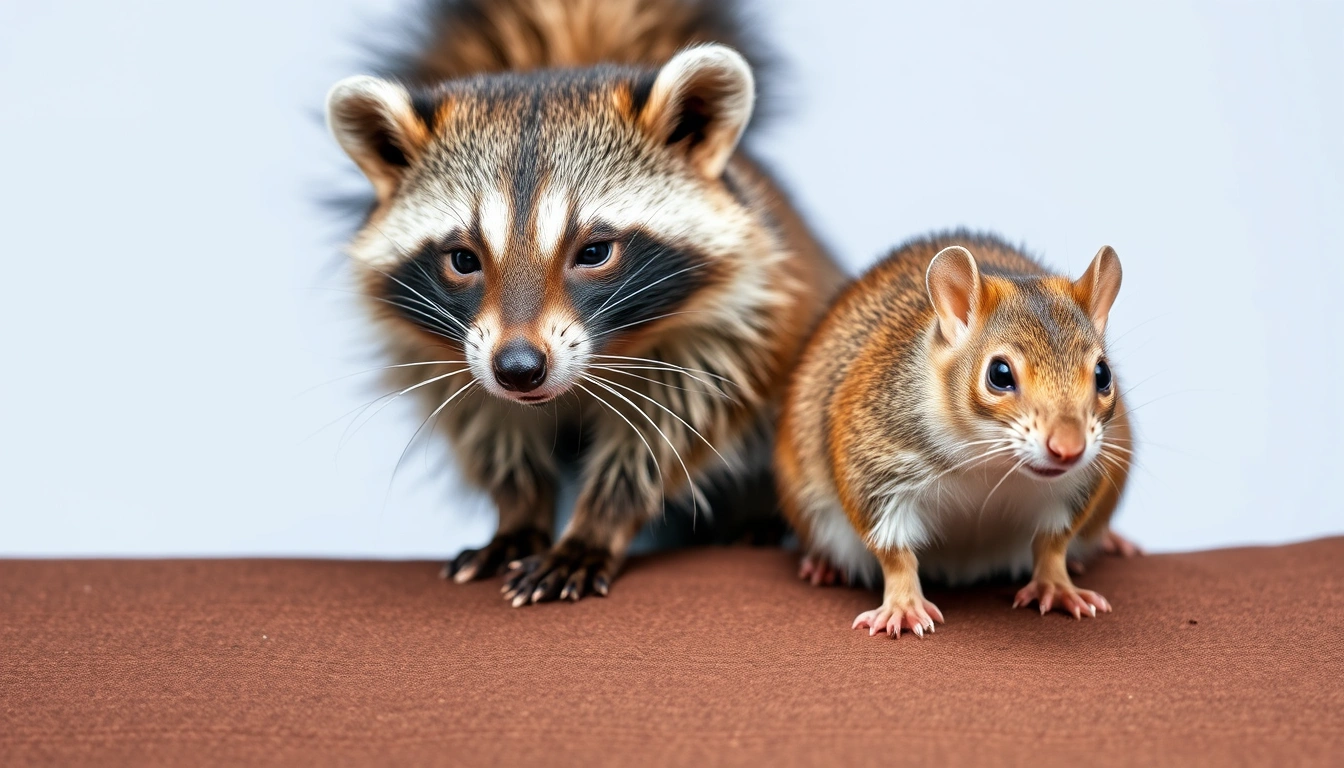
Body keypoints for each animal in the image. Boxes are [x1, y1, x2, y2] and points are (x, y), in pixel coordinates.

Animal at [325, 0, 845, 605]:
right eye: (463, 260)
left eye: (594, 252)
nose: (518, 370)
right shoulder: (450, 353)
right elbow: (490, 426)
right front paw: (520, 514)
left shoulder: (726, 329)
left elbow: (664, 433)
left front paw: (597, 525)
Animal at [775, 232, 1138, 637]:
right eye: (999, 374)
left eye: (1103, 374)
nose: (1069, 449)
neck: (991, 465)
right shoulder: (875, 461)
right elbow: (894, 552)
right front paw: (903, 604)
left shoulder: (1077, 484)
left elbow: (1052, 544)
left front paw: (1057, 585)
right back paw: (825, 564)